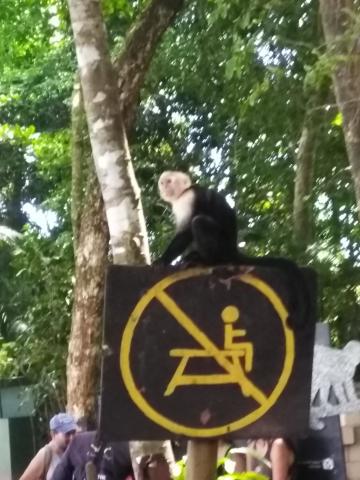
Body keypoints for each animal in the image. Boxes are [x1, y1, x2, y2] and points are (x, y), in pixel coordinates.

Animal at [154, 171, 310, 328]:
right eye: (162, 182)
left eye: (169, 181)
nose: (164, 187)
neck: (183, 192)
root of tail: (233, 250)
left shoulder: (187, 199)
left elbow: (185, 232)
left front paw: (163, 260)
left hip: (222, 247)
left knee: (199, 222)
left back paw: (205, 261)